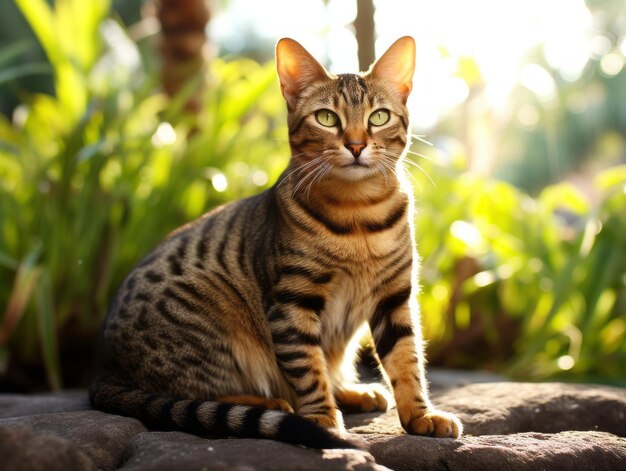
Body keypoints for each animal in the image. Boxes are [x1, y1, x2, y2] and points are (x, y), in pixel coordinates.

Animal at [89, 36, 458, 450]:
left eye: (378, 117)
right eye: (326, 118)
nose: (356, 145)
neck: (358, 215)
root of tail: (106, 370)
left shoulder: (394, 297)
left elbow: (407, 360)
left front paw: (422, 415)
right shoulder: (292, 302)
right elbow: (307, 368)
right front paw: (321, 419)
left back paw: (352, 391)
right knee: (194, 395)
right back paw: (272, 403)